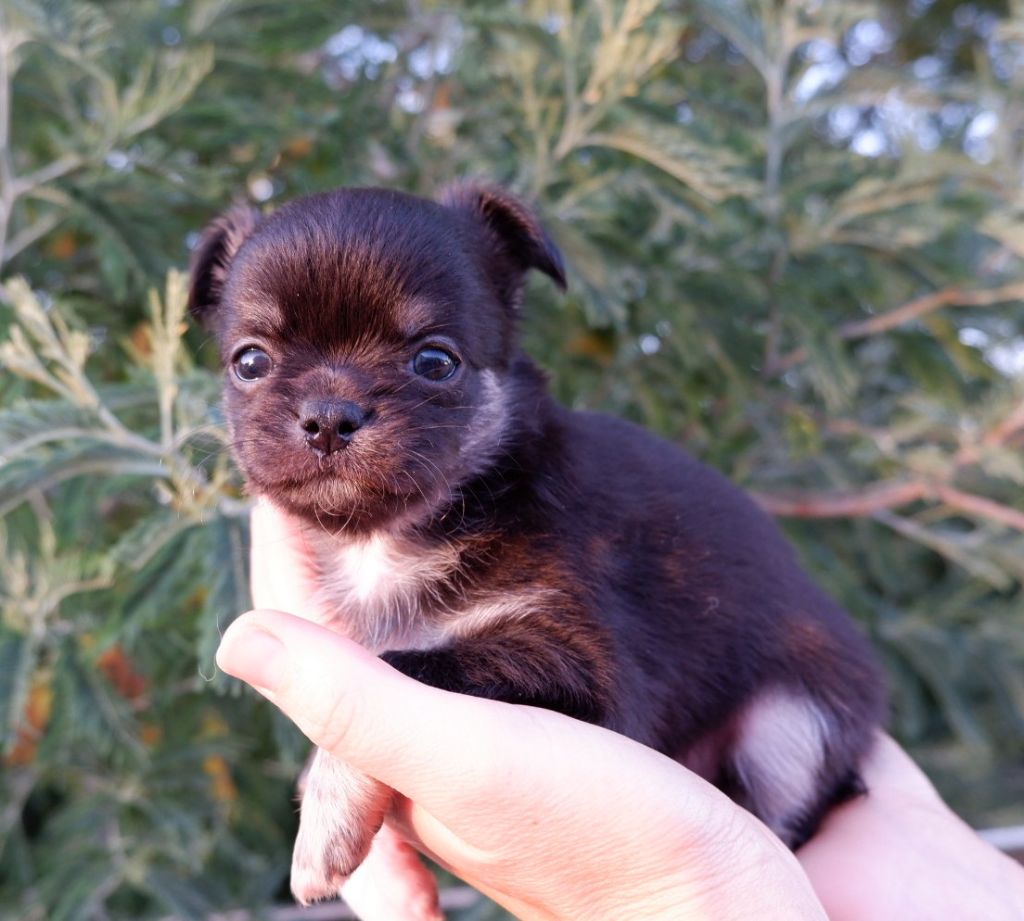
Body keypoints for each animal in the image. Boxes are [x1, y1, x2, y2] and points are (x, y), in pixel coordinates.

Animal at [189, 182, 885, 906]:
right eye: (250, 363)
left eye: (435, 362)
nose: (328, 417)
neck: (396, 536)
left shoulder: (576, 665)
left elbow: (403, 662)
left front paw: (327, 818)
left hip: (793, 722)